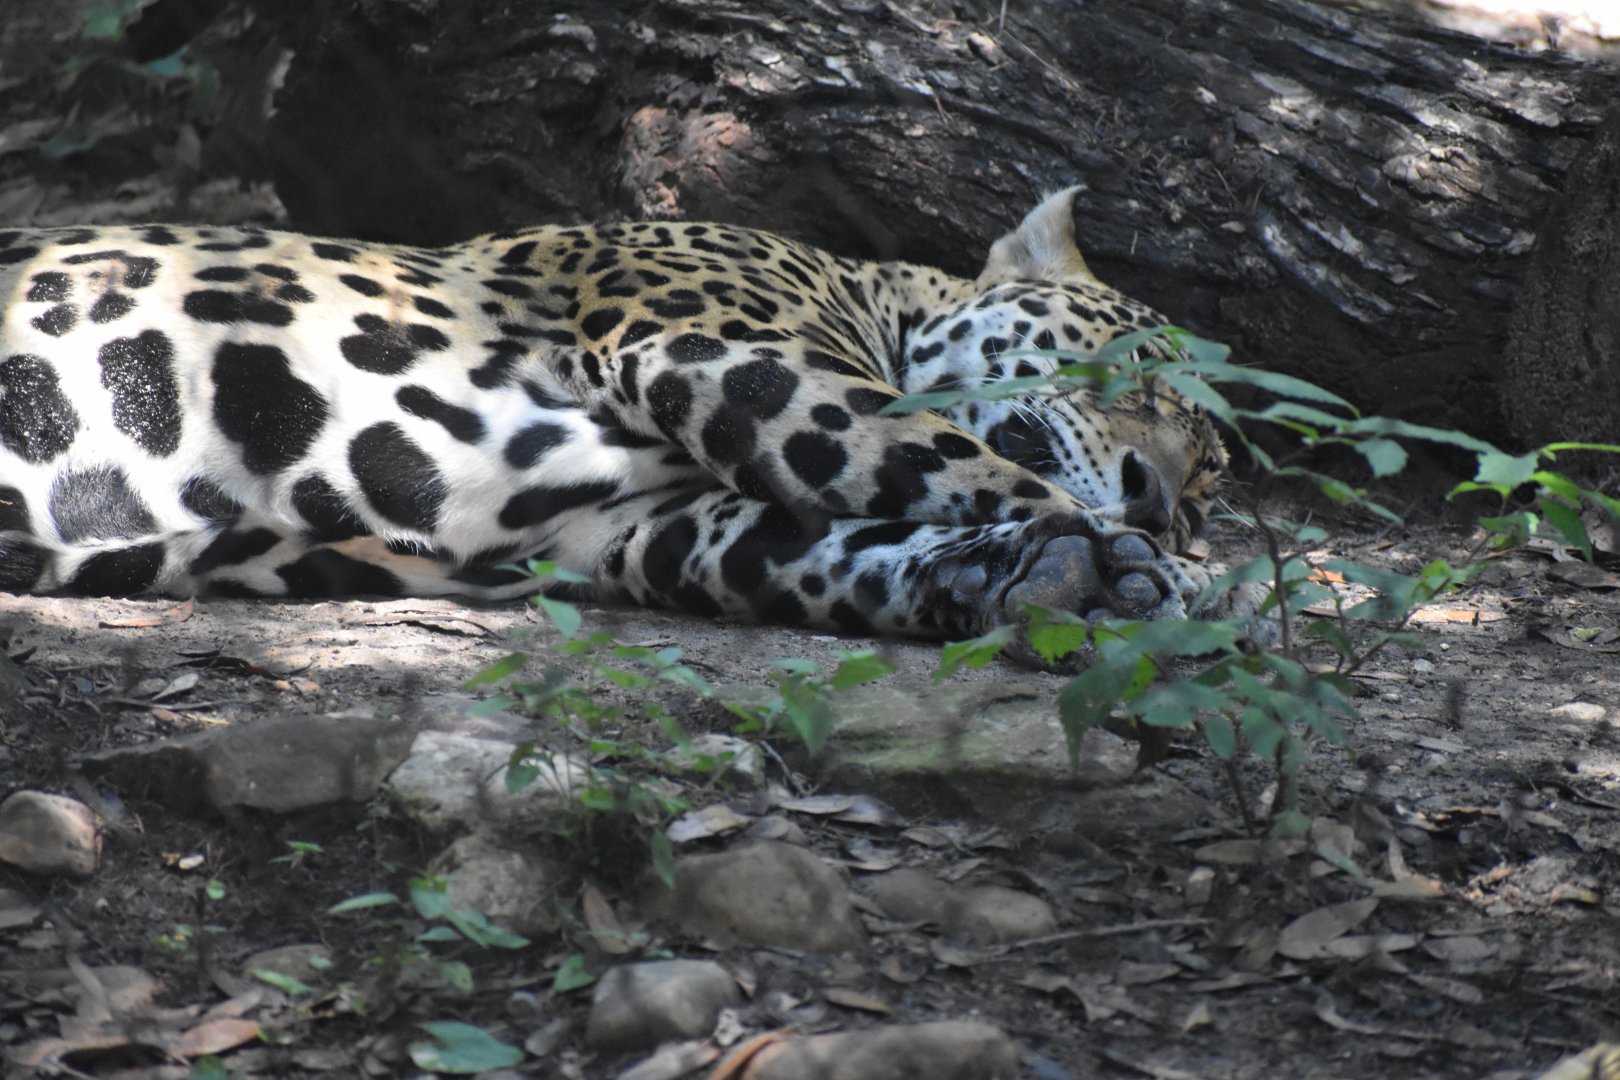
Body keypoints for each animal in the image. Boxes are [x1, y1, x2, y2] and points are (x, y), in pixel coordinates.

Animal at [0, 187, 1264, 651]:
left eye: (1209, 487)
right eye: (1142, 372)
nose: (1164, 498)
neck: (875, 296)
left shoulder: (642, 525)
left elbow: (831, 544)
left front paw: (1049, 577)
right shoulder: (724, 354)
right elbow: (946, 454)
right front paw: (1174, 583)